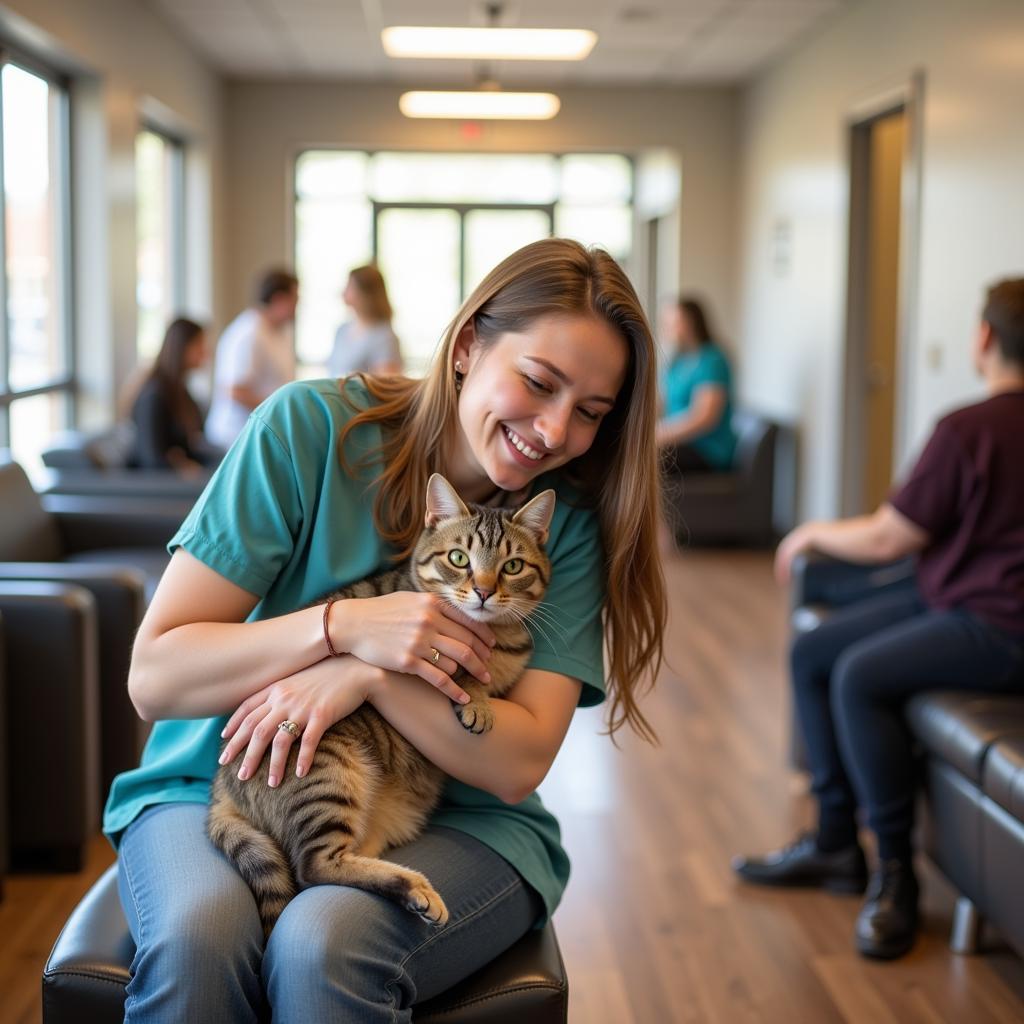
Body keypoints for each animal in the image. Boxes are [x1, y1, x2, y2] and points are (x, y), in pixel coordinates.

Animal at [207, 471, 557, 937]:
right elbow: (460, 674)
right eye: (459, 558)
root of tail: (221, 785)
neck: (495, 636)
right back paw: (412, 887)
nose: (483, 591)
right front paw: (477, 698)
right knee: (314, 867)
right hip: (329, 769)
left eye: (512, 566)